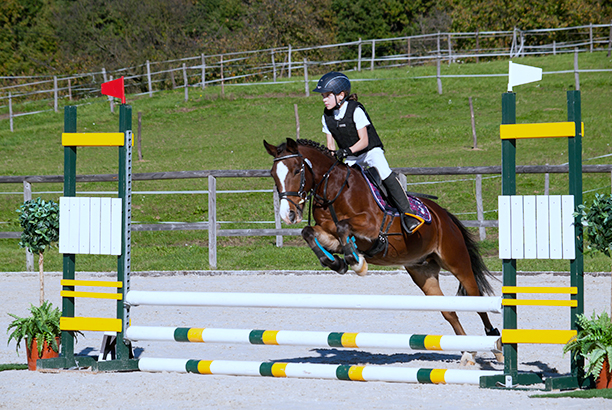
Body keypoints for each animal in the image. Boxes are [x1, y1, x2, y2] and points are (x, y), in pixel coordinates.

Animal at [264, 139, 502, 366]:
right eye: (273, 174)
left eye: (297, 170)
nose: (288, 215)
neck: (334, 191)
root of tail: (445, 216)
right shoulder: (329, 234)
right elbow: (309, 232)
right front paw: (337, 263)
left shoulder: (370, 226)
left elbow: (343, 226)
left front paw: (356, 262)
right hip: (422, 271)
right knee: (449, 311)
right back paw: (468, 352)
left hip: (458, 263)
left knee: (478, 302)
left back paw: (497, 347)